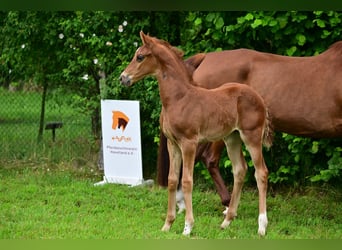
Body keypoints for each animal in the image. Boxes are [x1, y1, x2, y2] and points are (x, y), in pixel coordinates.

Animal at [120, 31, 272, 236]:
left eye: (140, 57)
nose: (123, 78)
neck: (178, 98)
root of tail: (259, 98)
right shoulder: (173, 144)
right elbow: (172, 180)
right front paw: (167, 224)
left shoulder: (189, 143)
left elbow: (186, 181)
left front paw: (187, 226)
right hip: (231, 138)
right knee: (240, 170)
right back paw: (226, 221)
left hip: (252, 136)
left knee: (261, 172)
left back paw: (261, 226)